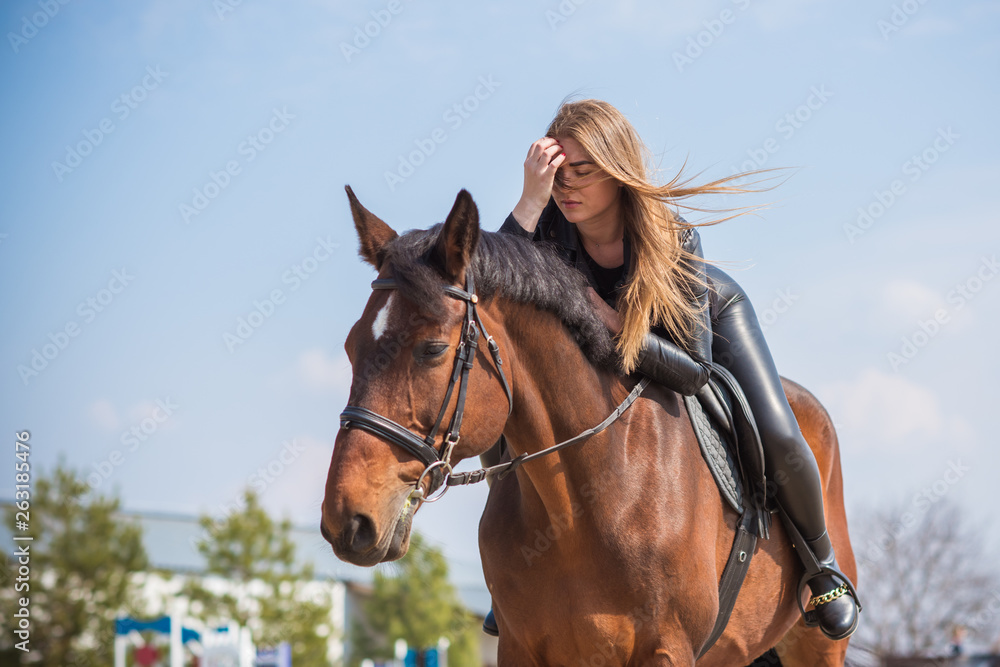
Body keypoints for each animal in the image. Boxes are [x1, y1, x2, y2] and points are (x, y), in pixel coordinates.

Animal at [321, 187, 858, 666]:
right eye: (349, 347)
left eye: (432, 349)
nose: (347, 520)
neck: (582, 503)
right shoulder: (521, 650)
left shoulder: (665, 650)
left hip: (814, 645)